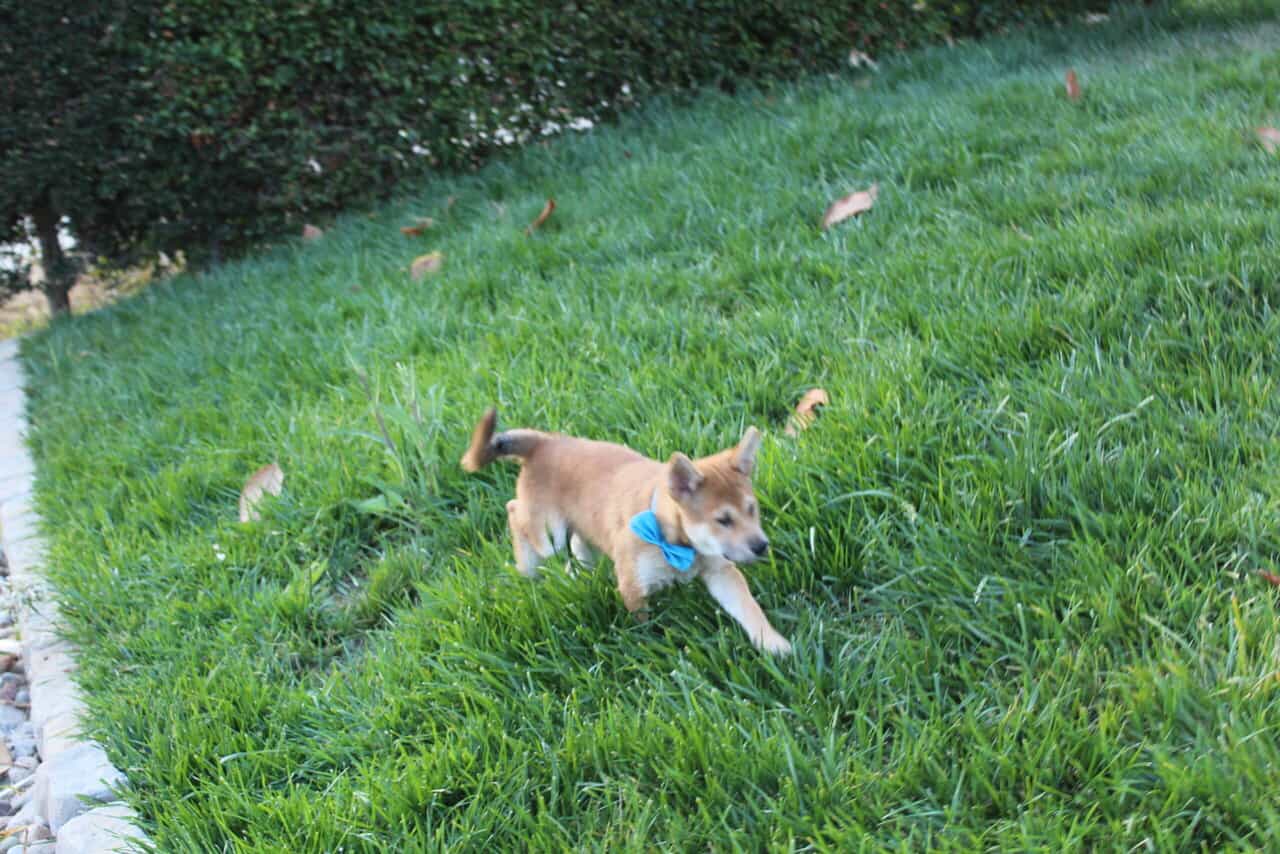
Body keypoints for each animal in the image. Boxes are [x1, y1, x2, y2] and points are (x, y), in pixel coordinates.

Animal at [461, 408, 792, 655]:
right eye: (723, 520)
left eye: (752, 509)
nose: (761, 546)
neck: (674, 541)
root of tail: (545, 442)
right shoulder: (634, 584)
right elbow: (643, 623)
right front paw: (649, 646)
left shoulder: (720, 571)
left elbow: (748, 608)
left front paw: (772, 643)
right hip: (548, 533)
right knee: (514, 512)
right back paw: (527, 569)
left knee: (578, 544)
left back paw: (579, 572)